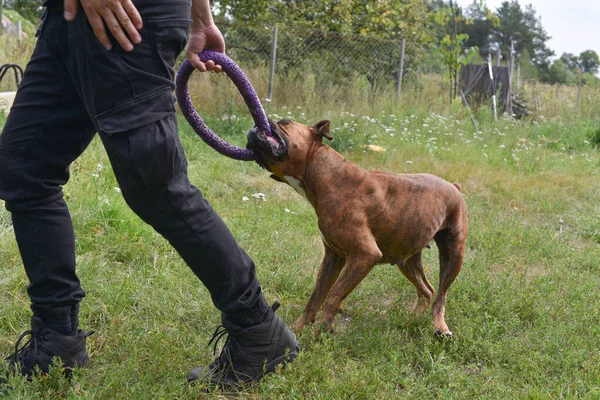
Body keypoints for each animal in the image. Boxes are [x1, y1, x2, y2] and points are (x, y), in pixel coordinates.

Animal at [246, 119, 466, 338]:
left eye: (285, 122)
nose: (257, 124)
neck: (327, 175)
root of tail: (455, 187)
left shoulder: (364, 255)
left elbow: (332, 297)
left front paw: (322, 334)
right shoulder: (333, 257)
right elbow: (315, 298)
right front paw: (298, 332)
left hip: (453, 256)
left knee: (441, 295)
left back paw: (440, 327)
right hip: (407, 258)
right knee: (427, 290)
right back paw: (409, 320)